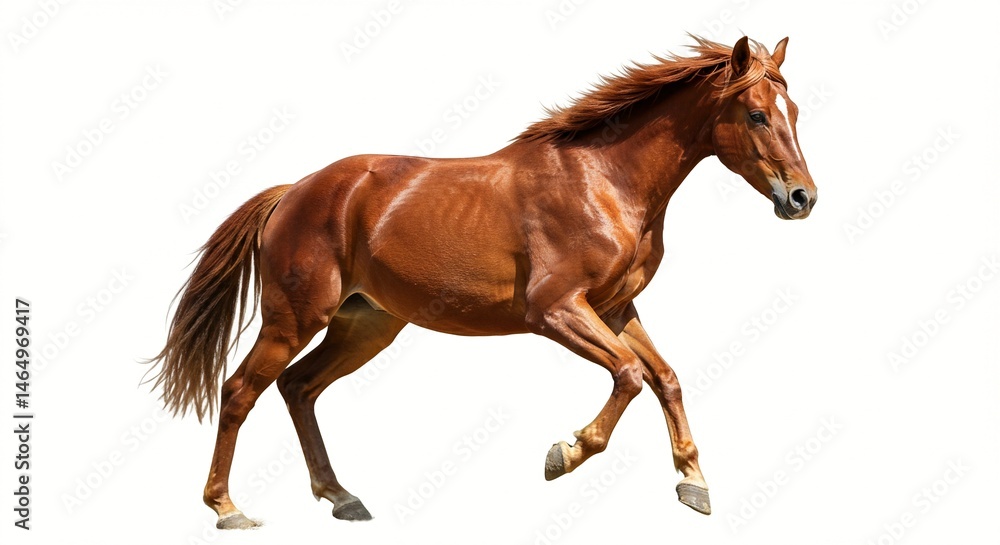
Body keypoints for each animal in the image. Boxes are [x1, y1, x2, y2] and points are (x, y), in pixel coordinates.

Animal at [149, 35, 816, 529]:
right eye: (757, 114)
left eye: (795, 112)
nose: (802, 198)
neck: (604, 181)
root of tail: (294, 192)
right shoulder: (556, 311)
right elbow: (629, 375)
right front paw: (564, 454)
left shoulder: (617, 309)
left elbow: (667, 378)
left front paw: (693, 483)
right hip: (293, 319)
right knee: (240, 391)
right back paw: (228, 509)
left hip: (365, 326)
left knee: (298, 388)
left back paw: (342, 498)